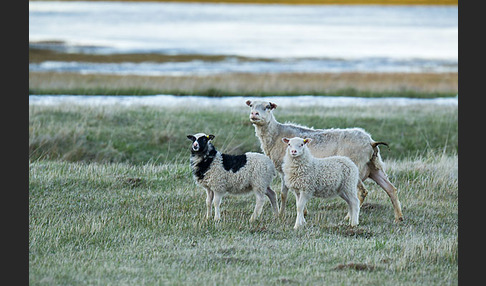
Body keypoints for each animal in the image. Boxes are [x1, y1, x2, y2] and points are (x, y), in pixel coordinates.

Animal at [245, 99, 404, 222]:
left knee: (361, 193)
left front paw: (282, 215)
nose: (254, 114)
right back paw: (399, 217)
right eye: (251, 105)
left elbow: (284, 194)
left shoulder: (284, 170)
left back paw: (349, 217)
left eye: (267, 106)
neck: (276, 134)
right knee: (391, 189)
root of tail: (371, 142)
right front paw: (302, 212)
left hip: (356, 170)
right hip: (375, 168)